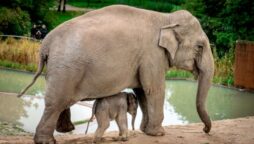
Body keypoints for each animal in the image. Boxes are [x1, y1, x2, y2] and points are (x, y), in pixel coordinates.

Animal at [18, 4, 214, 144]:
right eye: (200, 47)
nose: (205, 131)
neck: (165, 17)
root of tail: (45, 43)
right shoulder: (153, 55)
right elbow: (154, 89)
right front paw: (159, 133)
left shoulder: (146, 58)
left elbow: (142, 91)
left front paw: (146, 131)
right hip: (66, 69)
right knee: (56, 103)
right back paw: (47, 141)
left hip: (61, 69)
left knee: (60, 102)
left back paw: (65, 131)